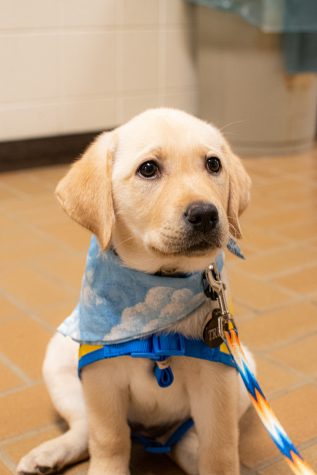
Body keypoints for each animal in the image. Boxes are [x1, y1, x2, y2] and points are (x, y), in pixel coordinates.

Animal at [17, 109, 254, 475]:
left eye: (214, 164)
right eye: (148, 169)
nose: (205, 214)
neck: (160, 281)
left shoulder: (218, 382)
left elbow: (220, 448)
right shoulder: (101, 381)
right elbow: (109, 438)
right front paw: (107, 469)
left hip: (244, 371)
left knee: (188, 440)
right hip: (58, 361)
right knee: (85, 427)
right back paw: (49, 453)